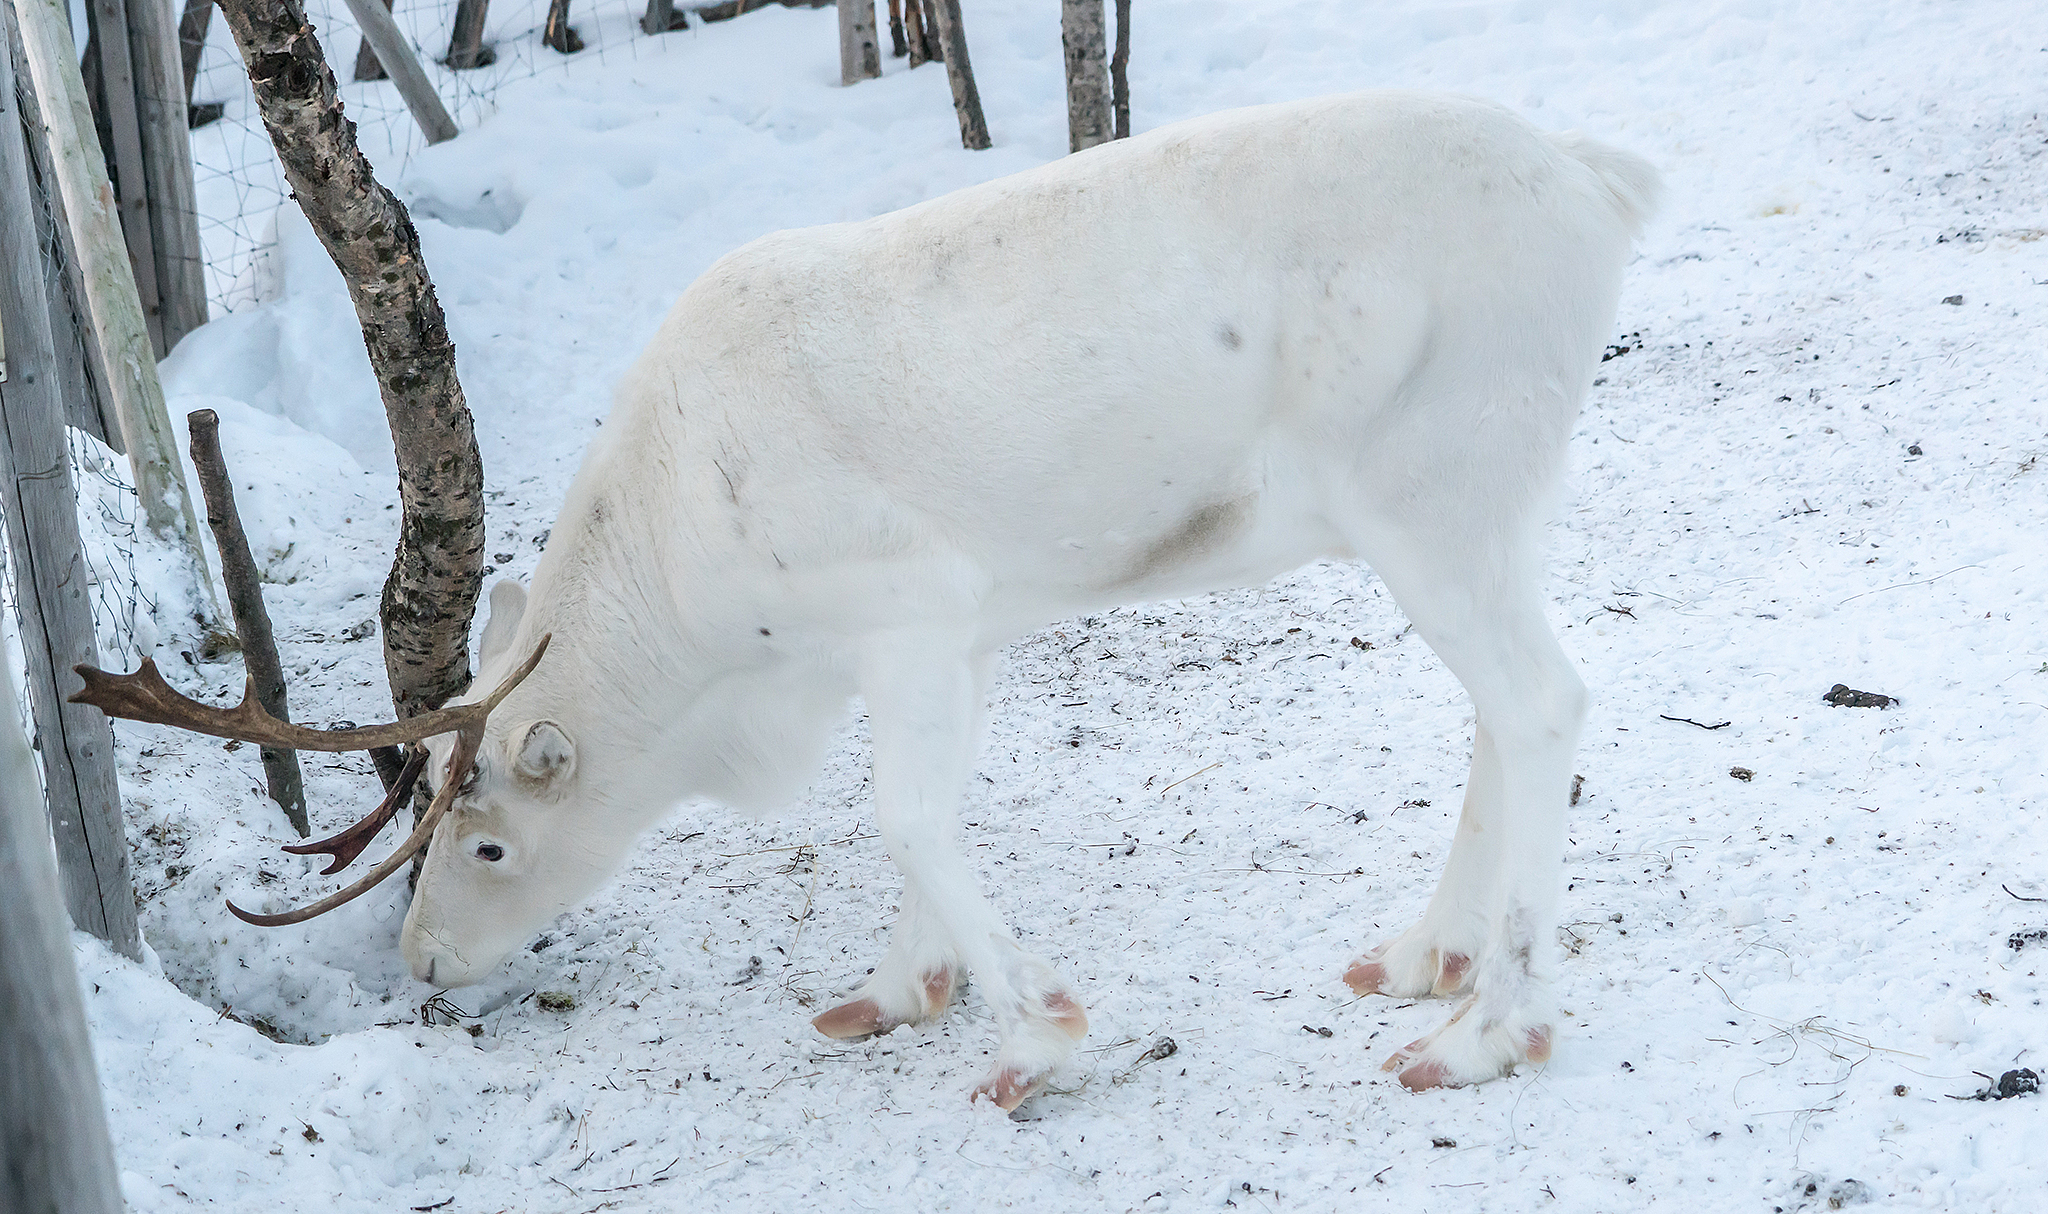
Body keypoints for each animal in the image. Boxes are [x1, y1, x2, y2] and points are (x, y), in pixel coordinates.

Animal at [75, 91, 1659, 1110]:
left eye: (488, 845)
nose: (421, 965)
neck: (709, 639)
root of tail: (1600, 181)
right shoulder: (959, 633)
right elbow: (922, 823)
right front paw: (903, 991)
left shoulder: (904, 612)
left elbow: (905, 816)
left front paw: (1040, 1037)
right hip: (1477, 503)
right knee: (1501, 710)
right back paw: (1422, 956)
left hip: (1429, 487)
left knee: (1546, 700)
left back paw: (1490, 1029)